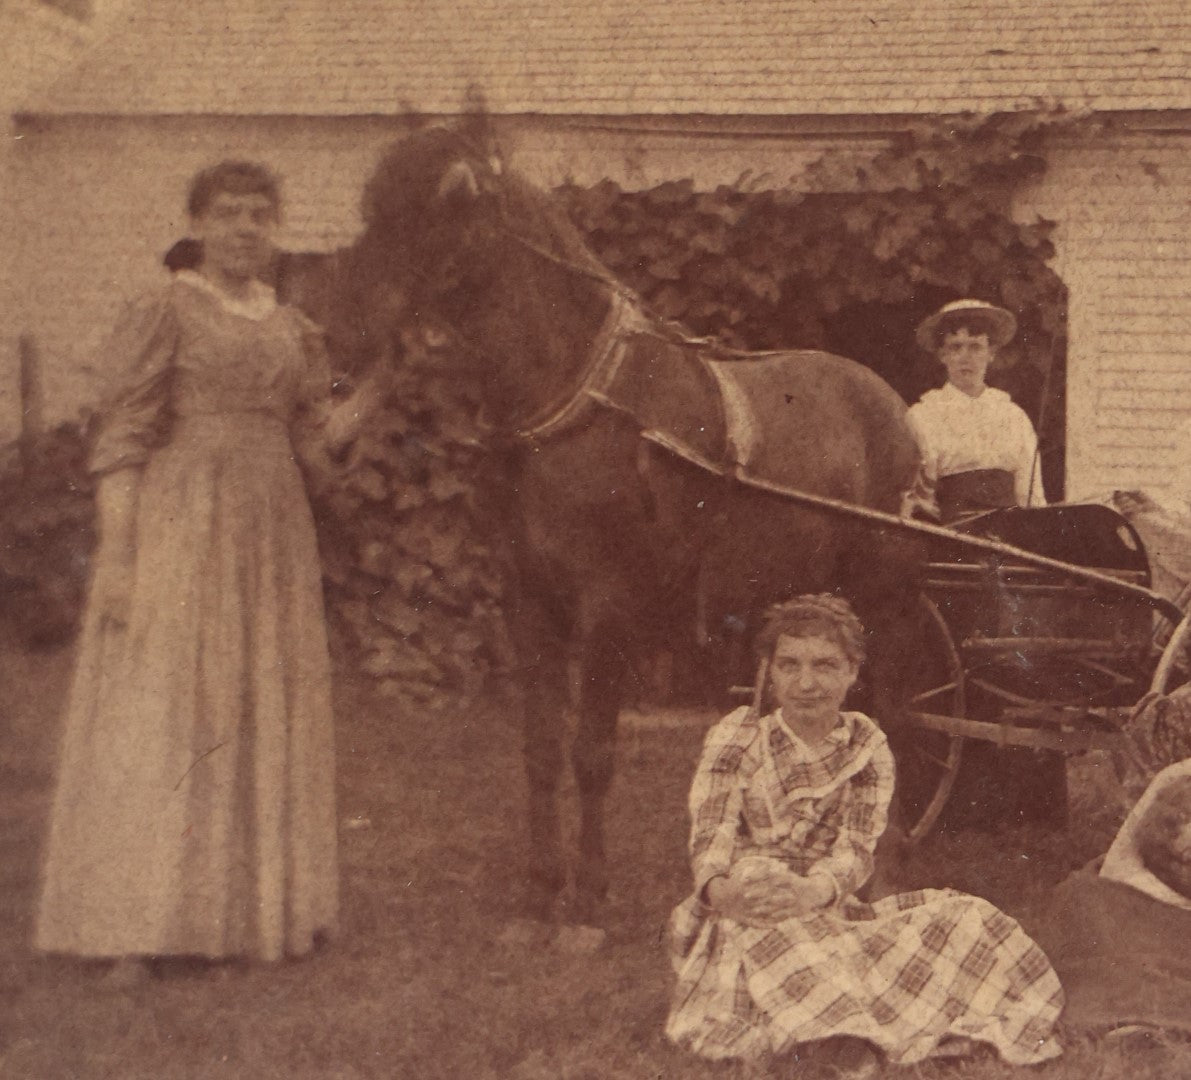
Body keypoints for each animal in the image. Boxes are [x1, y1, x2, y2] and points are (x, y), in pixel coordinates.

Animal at [331, 126, 924, 919]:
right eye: (371, 200)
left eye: (454, 195)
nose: (341, 330)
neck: (577, 402)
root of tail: (891, 403)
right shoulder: (528, 601)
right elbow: (539, 750)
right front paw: (540, 888)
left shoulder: (606, 605)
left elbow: (591, 752)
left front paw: (587, 898)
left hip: (887, 598)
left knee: (896, 716)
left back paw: (887, 861)